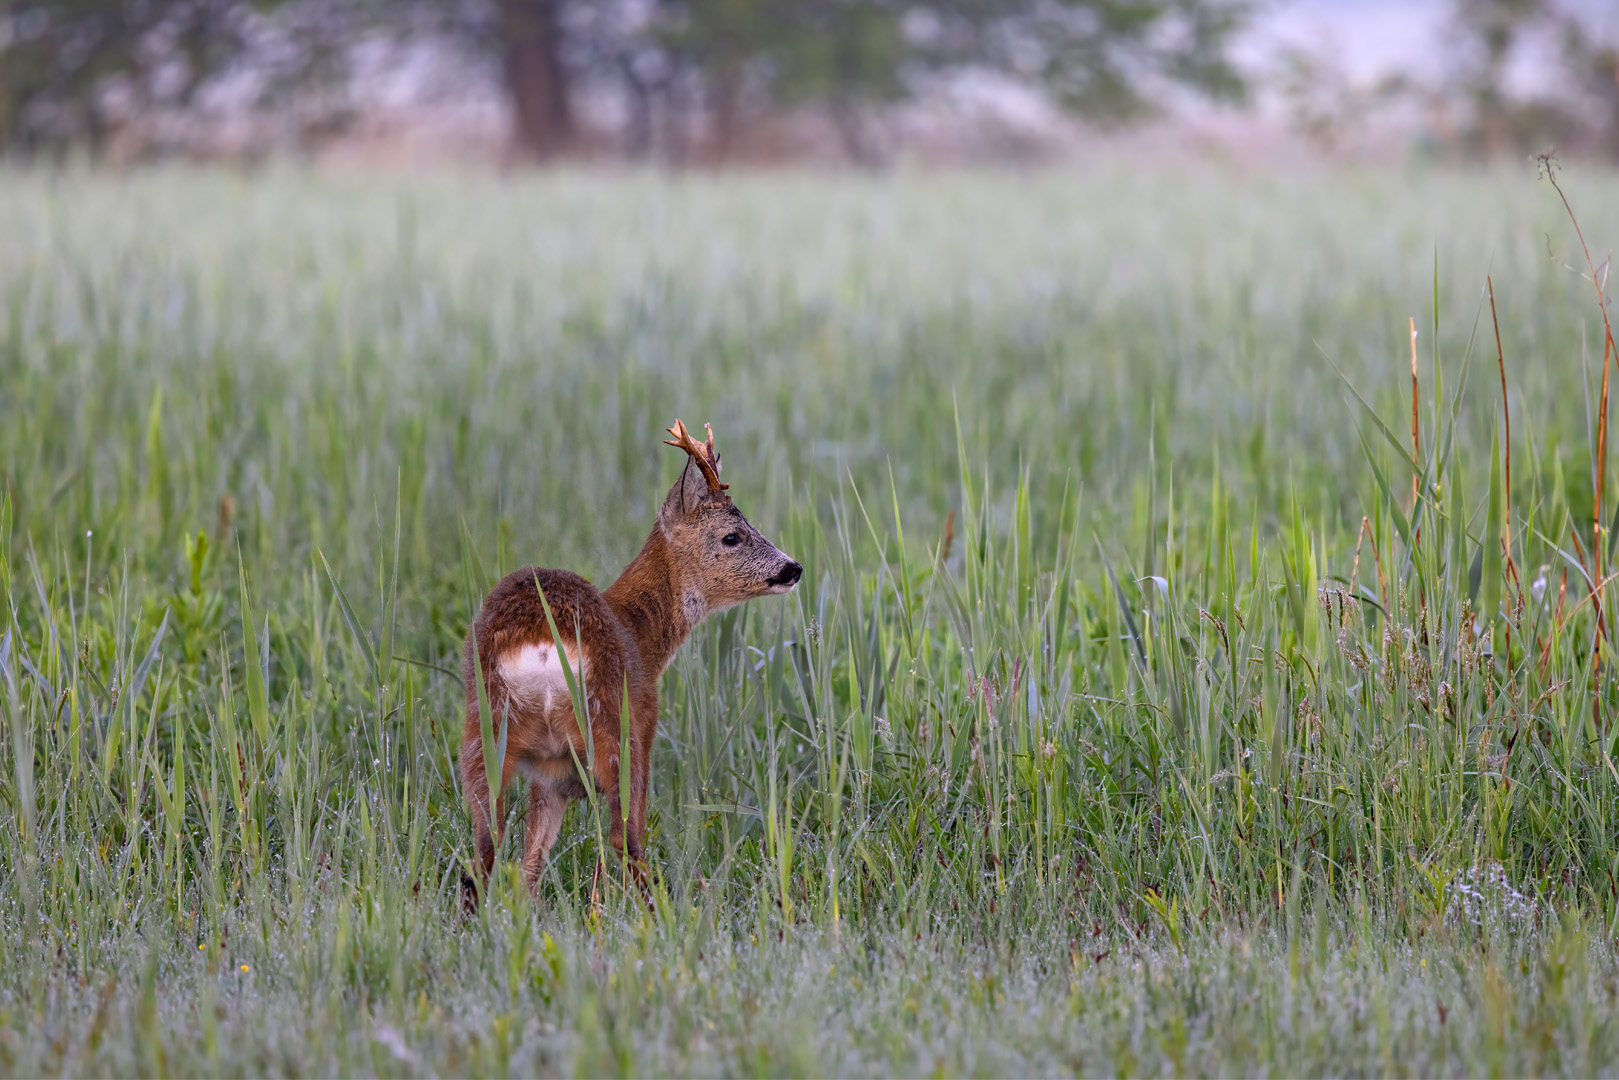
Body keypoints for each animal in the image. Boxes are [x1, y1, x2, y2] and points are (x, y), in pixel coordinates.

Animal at [459, 417, 799, 906]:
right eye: (732, 536)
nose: (794, 568)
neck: (640, 634)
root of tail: (541, 642)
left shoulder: (551, 773)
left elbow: (533, 855)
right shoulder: (645, 720)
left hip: (483, 729)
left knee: (487, 844)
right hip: (611, 724)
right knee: (625, 837)